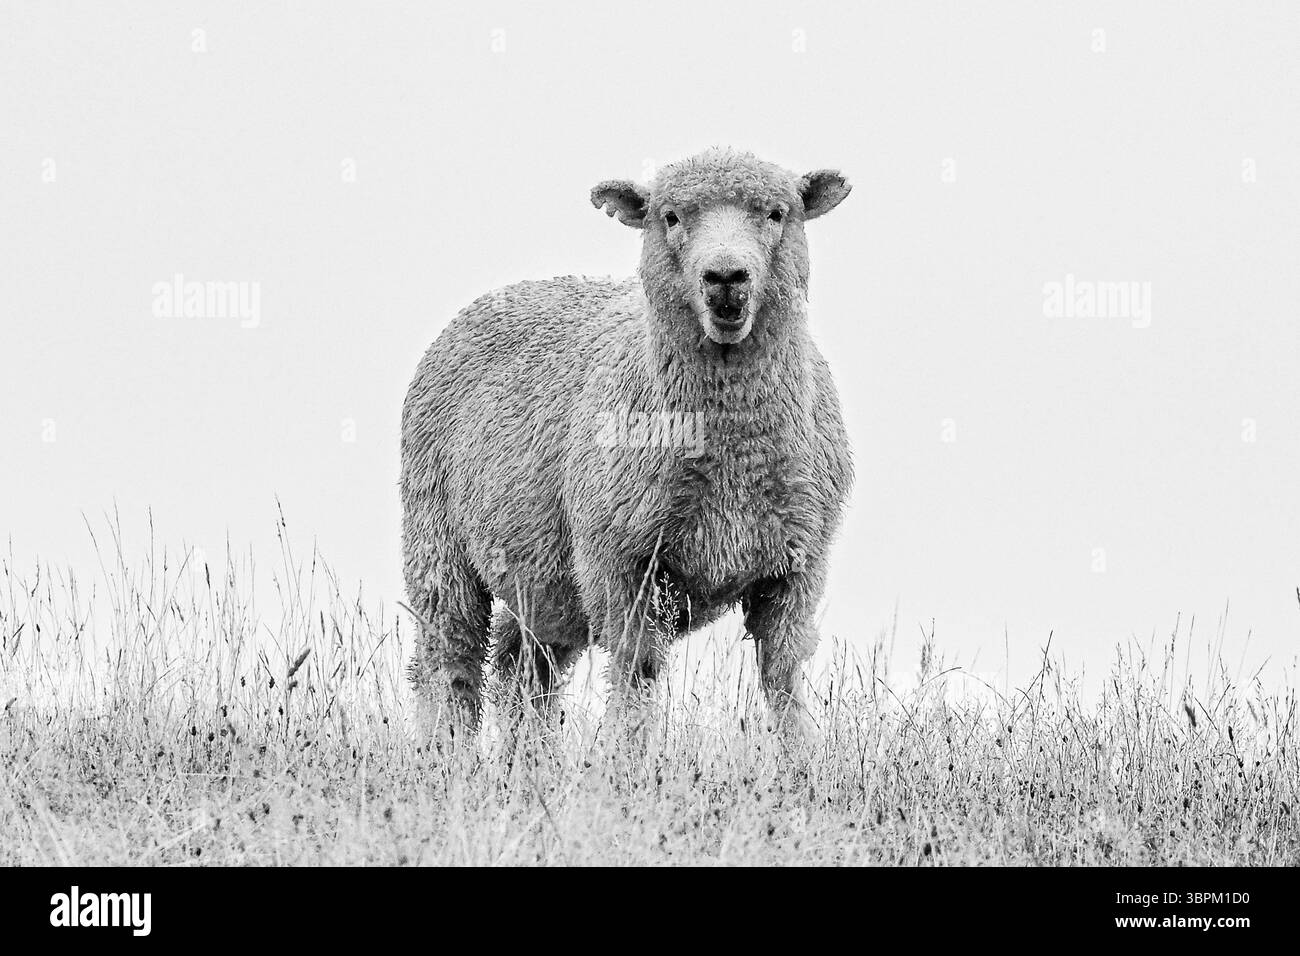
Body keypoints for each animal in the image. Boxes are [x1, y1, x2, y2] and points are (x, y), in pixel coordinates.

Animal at [401, 147, 853, 743]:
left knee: (524, 673)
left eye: (777, 214)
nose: (725, 278)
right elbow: (638, 669)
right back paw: (445, 749)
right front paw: (627, 755)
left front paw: (801, 756)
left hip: (540, 580)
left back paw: (531, 760)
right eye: (670, 217)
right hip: (436, 545)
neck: (732, 462)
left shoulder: (799, 564)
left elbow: (782, 674)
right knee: (448, 662)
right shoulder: (618, 561)